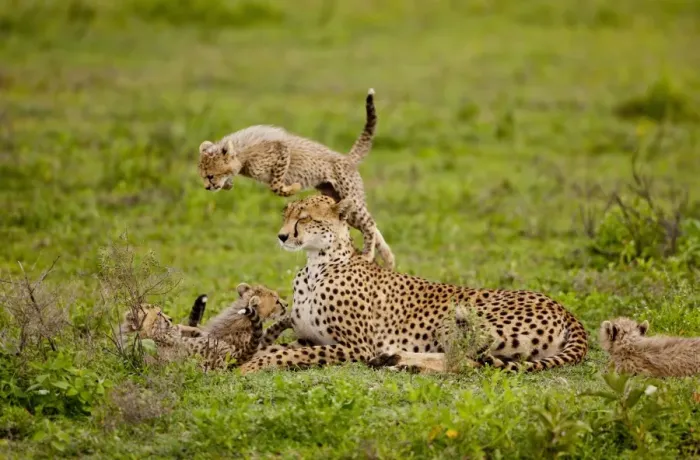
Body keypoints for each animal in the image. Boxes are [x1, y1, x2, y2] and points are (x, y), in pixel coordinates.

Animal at [197, 88, 395, 269]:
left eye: (210, 176)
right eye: (203, 177)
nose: (207, 187)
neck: (241, 154)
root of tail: (346, 158)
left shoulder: (282, 151)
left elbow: (276, 184)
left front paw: (293, 187)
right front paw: (228, 184)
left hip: (350, 196)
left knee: (369, 224)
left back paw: (369, 255)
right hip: (341, 204)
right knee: (372, 226)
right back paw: (388, 258)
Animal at [238, 195, 589, 375]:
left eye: (305, 218)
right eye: (285, 215)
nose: (282, 236)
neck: (317, 265)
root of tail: (563, 308)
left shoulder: (356, 346)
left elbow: (286, 353)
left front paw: (249, 365)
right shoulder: (310, 337)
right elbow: (282, 346)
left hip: (455, 318)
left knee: (463, 363)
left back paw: (399, 361)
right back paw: (393, 360)